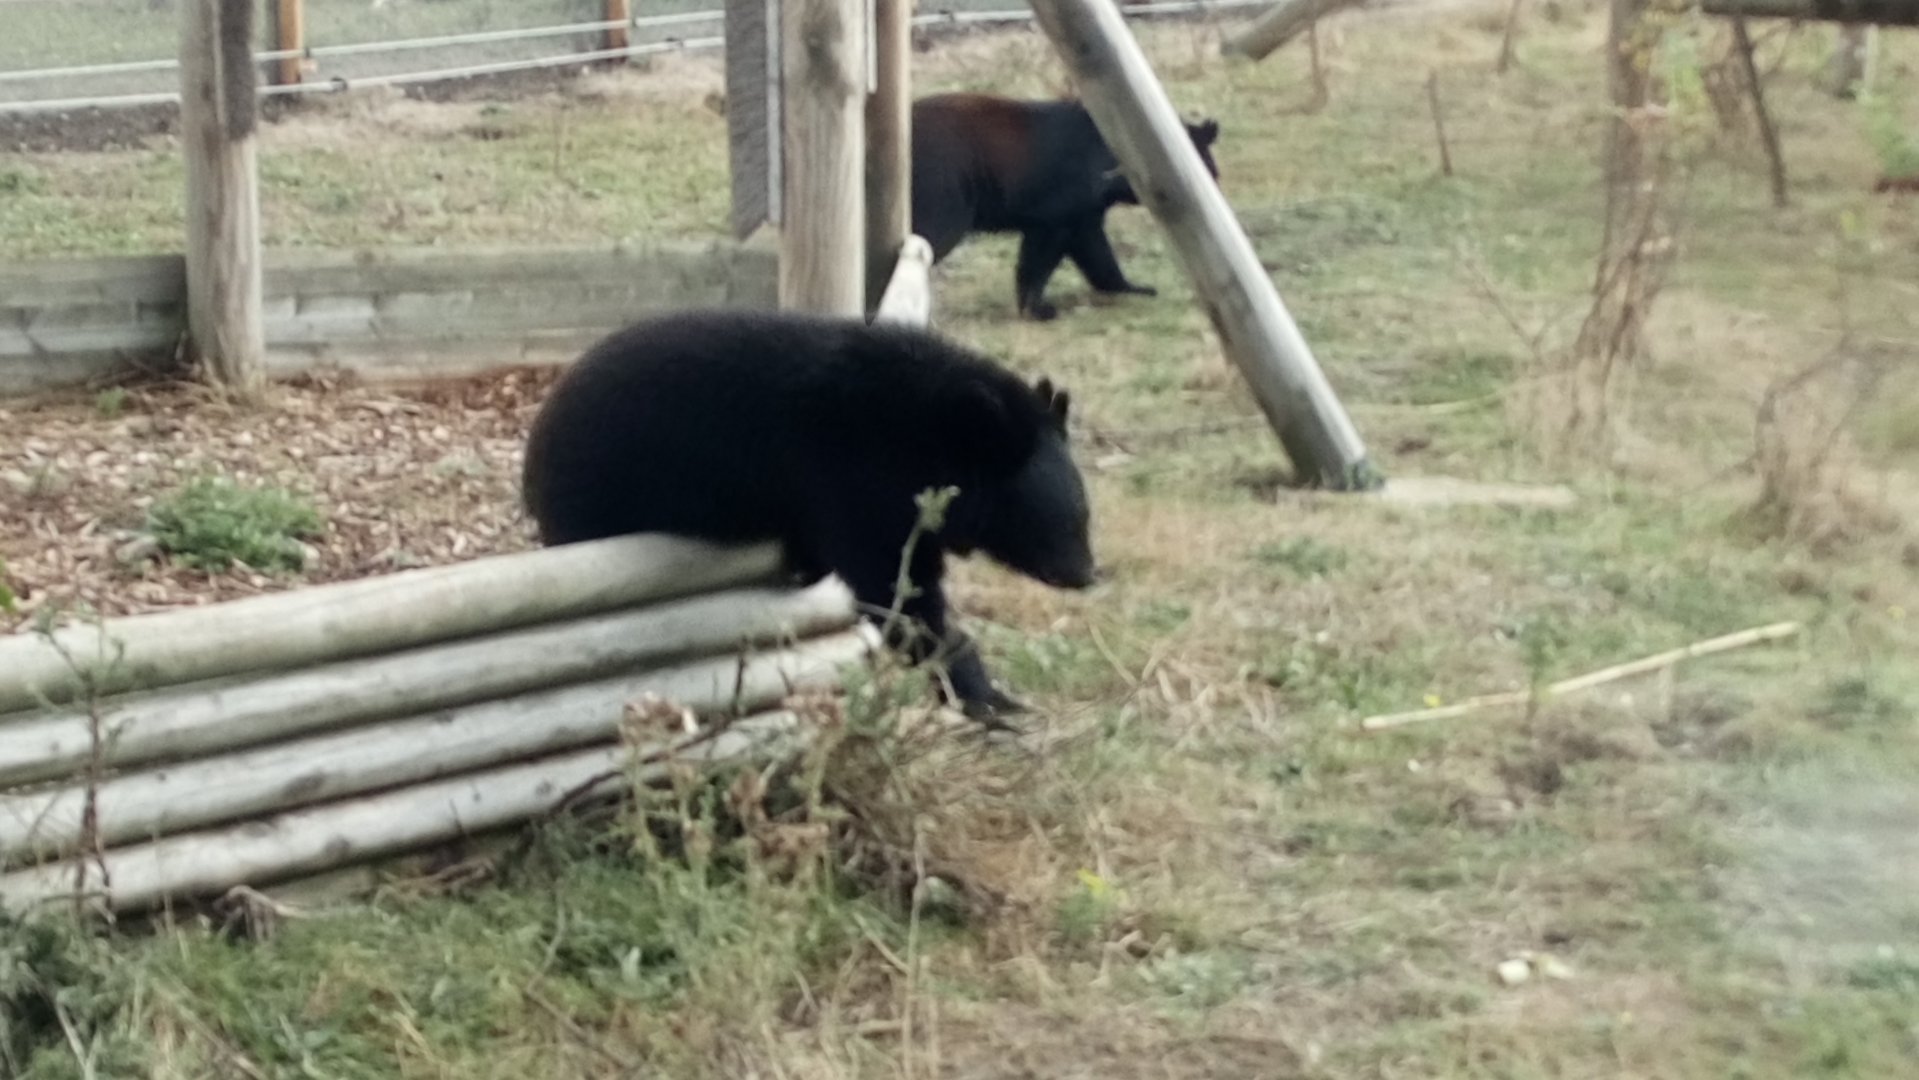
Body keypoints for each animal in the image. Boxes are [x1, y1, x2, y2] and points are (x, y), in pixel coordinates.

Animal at [521, 309, 1098, 725]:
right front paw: (988, 698)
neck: (923, 436)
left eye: (1084, 516)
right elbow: (898, 594)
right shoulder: (848, 480)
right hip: (595, 503)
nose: (1087, 574)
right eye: (1055, 521)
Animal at [910, 92, 1222, 321]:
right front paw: (1037, 309)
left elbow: (1095, 252)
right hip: (945, 192)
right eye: (1209, 172)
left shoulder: (1083, 214)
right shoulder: (1058, 209)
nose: (1216, 190)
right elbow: (1041, 257)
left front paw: (1134, 288)